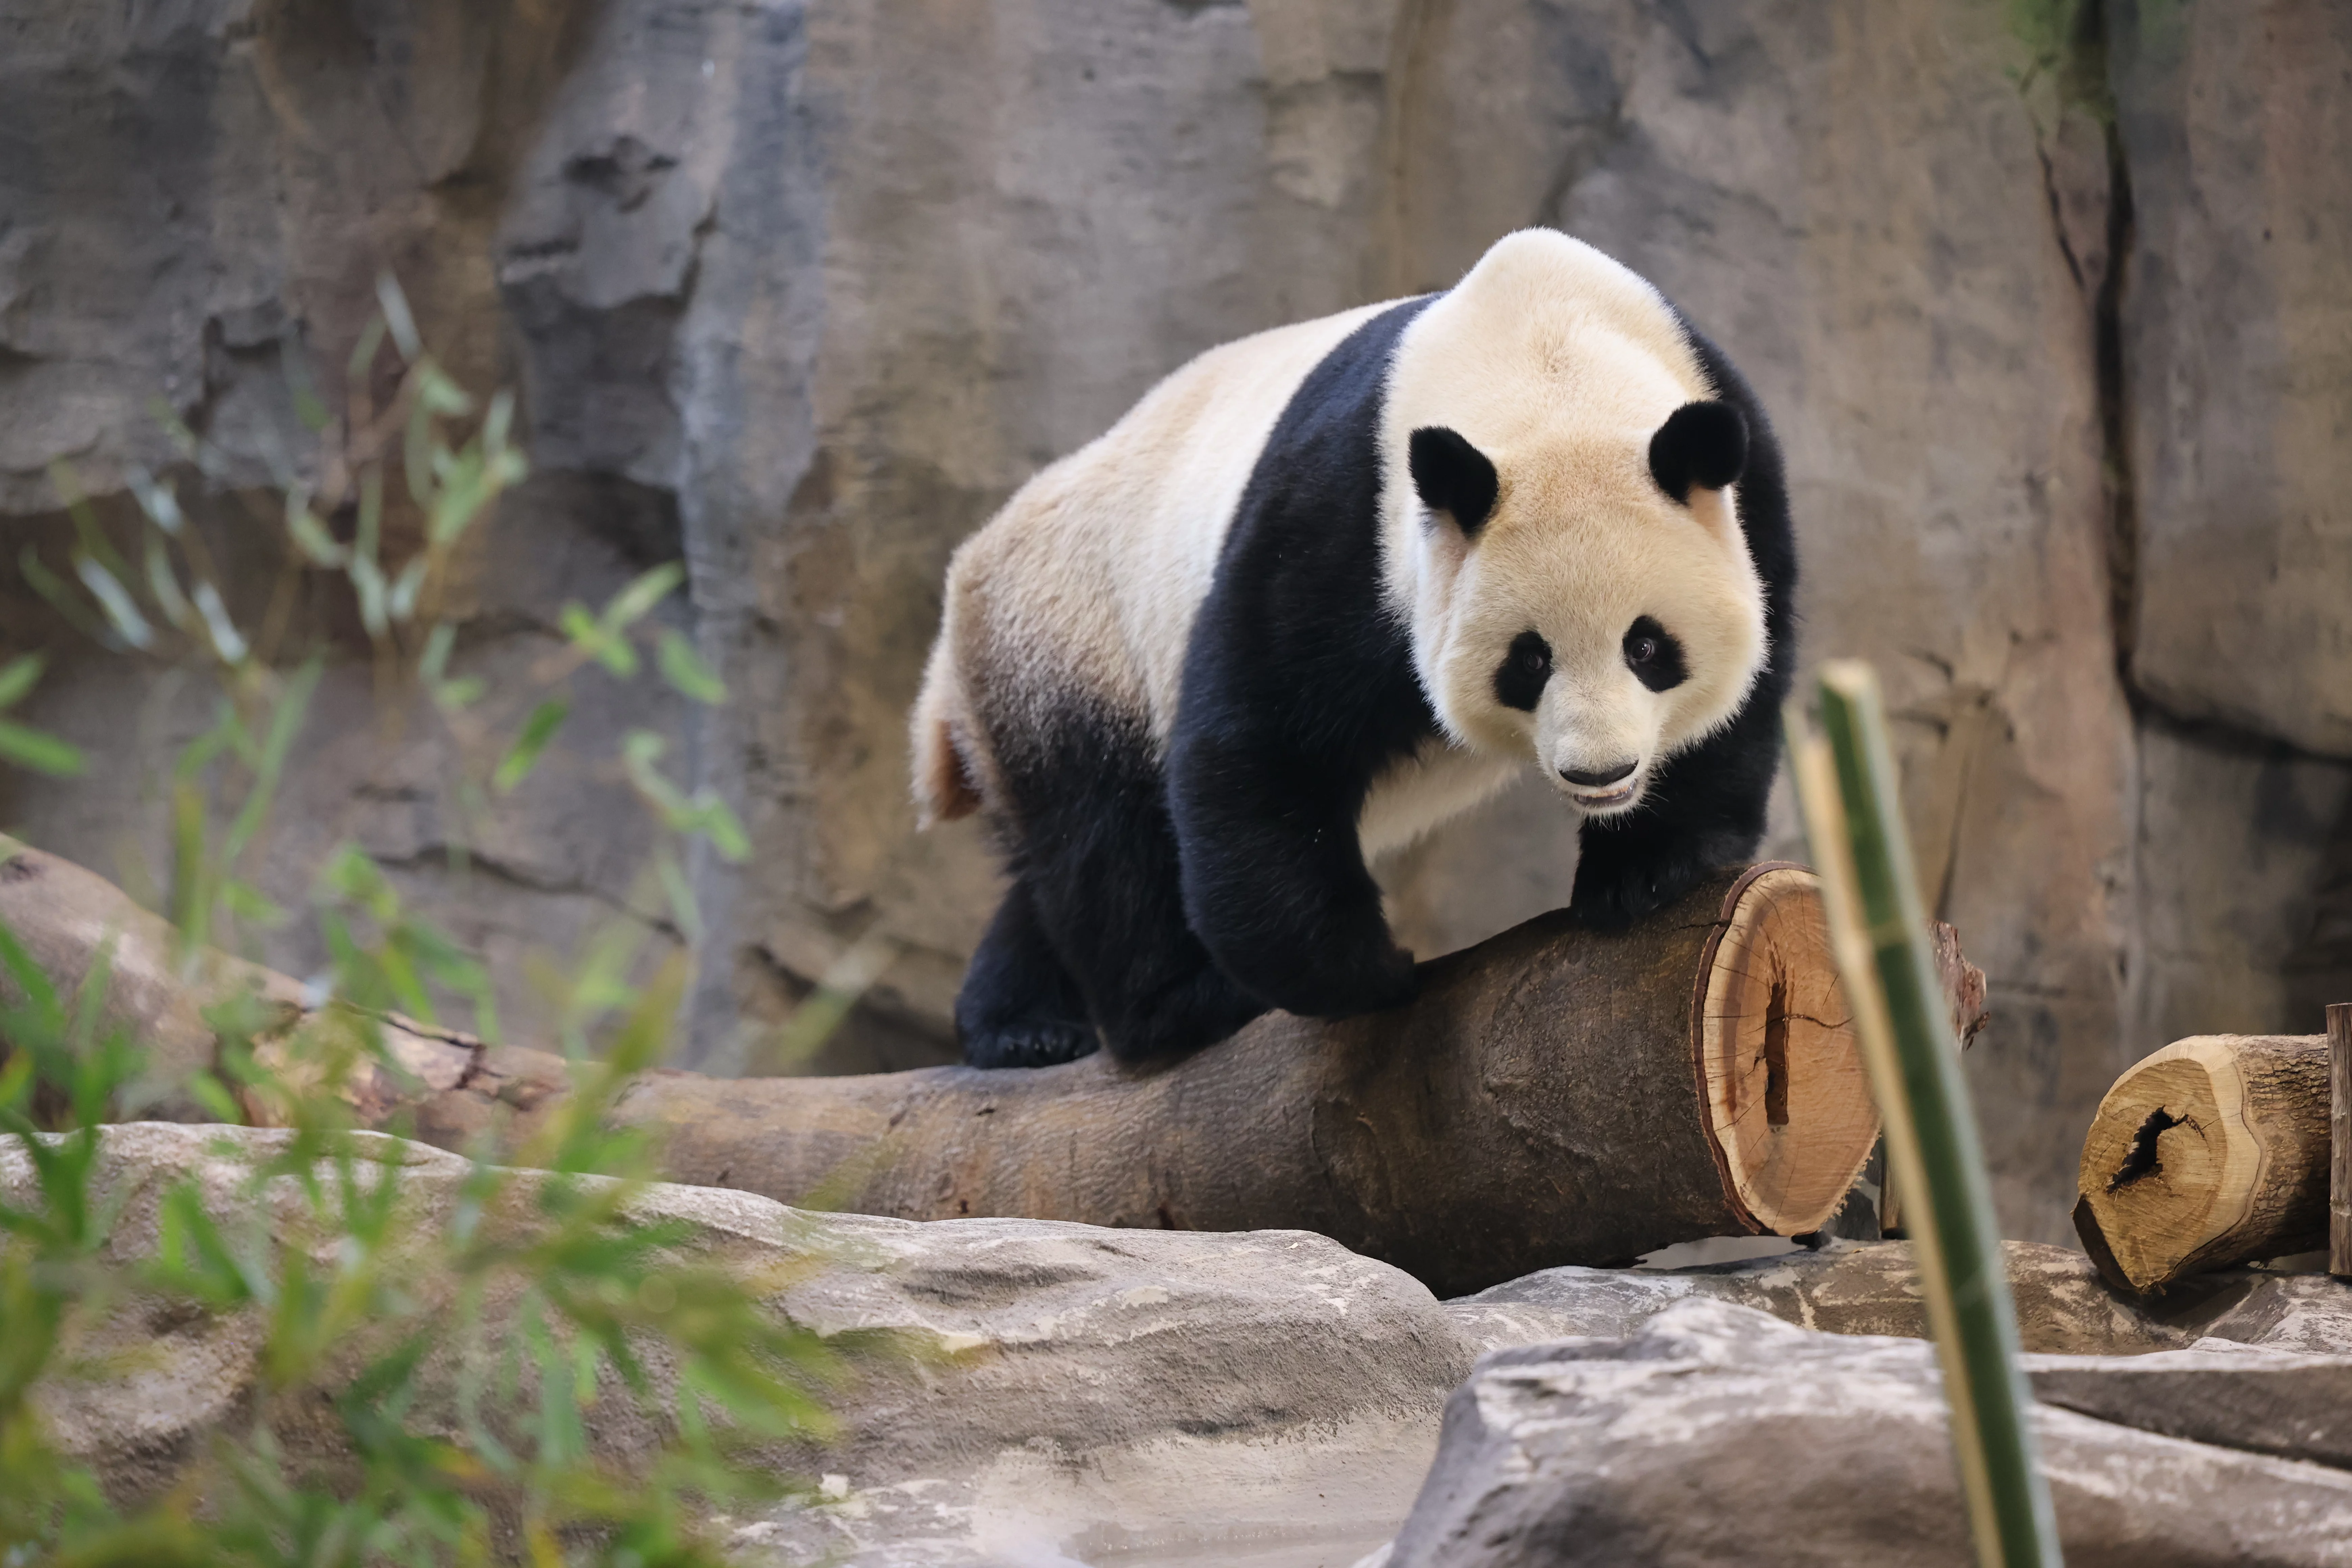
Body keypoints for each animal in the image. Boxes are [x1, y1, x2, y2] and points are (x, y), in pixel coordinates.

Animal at [911, 228, 1794, 1069]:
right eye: (1529, 659)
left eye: (1647, 645)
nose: (1601, 773)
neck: (1550, 358)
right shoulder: (1343, 516)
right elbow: (1258, 738)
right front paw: (1362, 971)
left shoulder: (1743, 477)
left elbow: (1749, 684)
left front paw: (1642, 873)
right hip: (1072, 636)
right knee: (1106, 838)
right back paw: (1167, 1008)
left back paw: (1018, 1023)